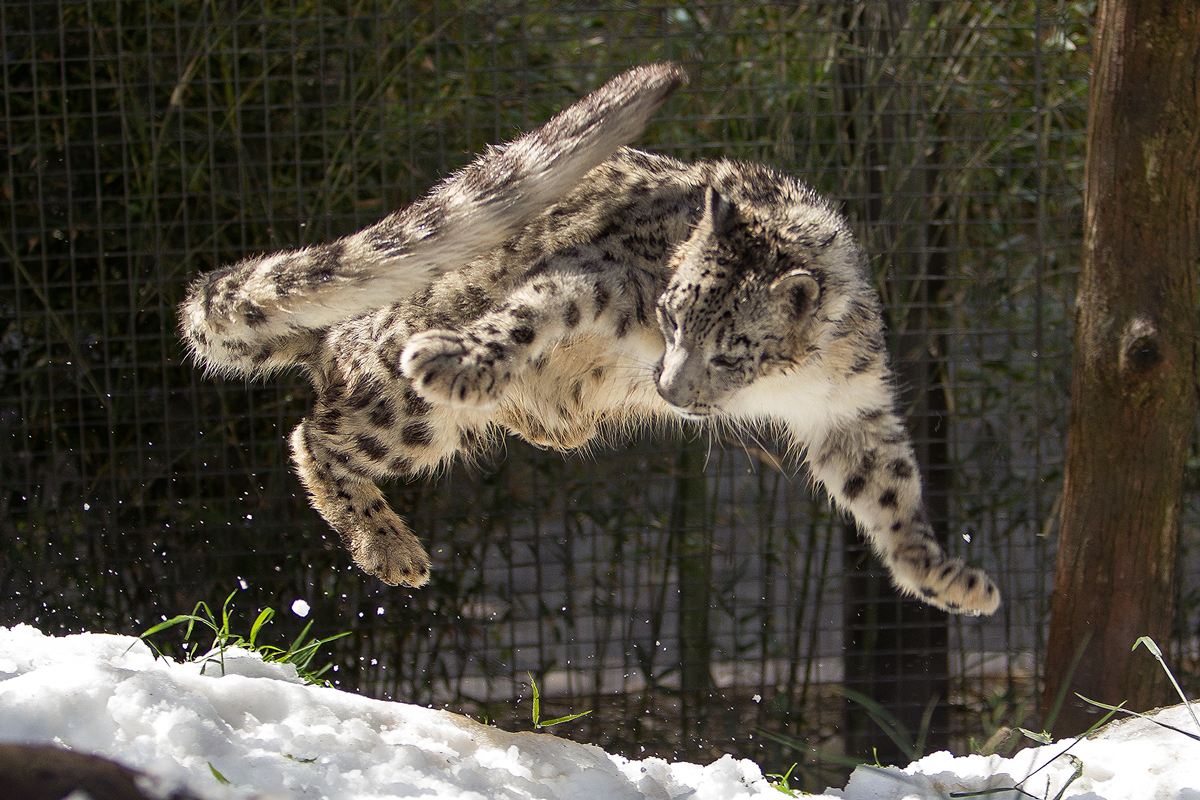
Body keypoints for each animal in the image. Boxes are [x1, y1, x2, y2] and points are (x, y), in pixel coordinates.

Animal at [180, 64, 1003, 614]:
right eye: (670, 315)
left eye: (731, 348)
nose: (669, 388)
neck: (791, 378)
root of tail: (337, 335)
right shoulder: (600, 279)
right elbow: (523, 317)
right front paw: (452, 360)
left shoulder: (851, 407)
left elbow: (892, 495)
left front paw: (952, 582)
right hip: (400, 414)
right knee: (312, 437)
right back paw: (392, 546)